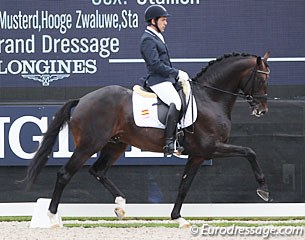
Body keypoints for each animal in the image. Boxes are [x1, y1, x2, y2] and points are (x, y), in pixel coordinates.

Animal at [20, 51, 270, 228]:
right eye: (261, 80)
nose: (262, 110)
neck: (210, 98)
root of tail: (82, 100)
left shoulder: (199, 155)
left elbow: (184, 185)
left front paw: (178, 218)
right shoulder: (211, 147)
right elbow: (250, 151)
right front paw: (263, 190)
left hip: (115, 145)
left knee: (98, 170)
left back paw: (121, 206)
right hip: (89, 145)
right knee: (65, 174)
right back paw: (52, 217)